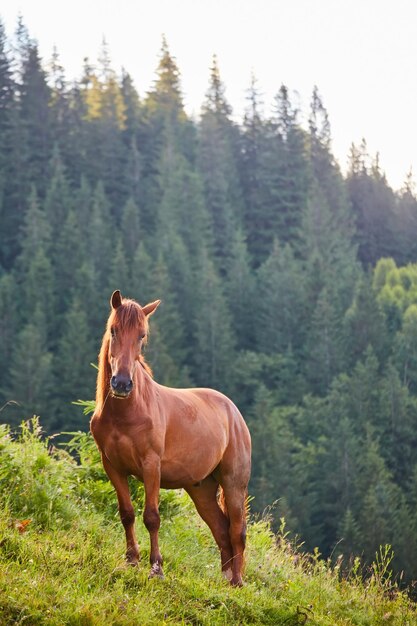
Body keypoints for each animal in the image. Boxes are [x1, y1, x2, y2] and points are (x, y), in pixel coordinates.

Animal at [90, 290, 250, 584]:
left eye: (142, 335)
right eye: (113, 330)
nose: (122, 383)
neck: (126, 412)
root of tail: (233, 411)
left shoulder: (151, 465)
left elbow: (152, 517)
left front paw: (156, 568)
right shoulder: (112, 466)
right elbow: (127, 514)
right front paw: (131, 561)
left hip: (234, 483)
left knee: (237, 531)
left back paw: (236, 582)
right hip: (201, 489)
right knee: (221, 530)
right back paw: (224, 580)